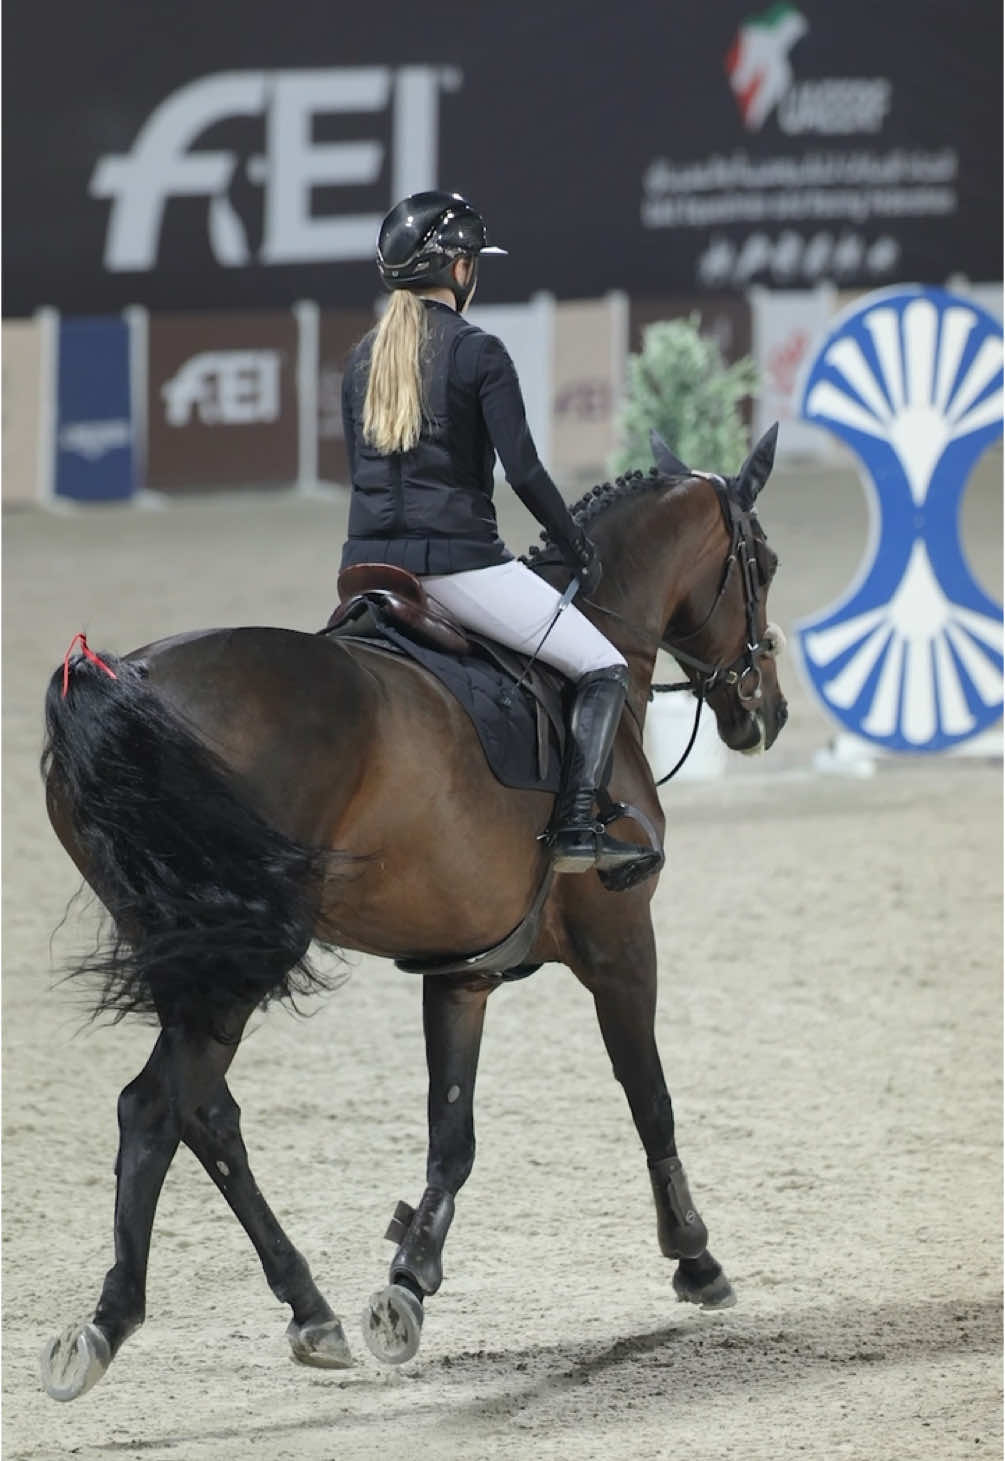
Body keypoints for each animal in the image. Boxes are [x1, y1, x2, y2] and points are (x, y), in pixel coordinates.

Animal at [38, 426, 787, 1401]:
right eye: (762, 563)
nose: (764, 715)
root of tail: (120, 675)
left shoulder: (463, 968)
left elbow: (451, 1132)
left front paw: (408, 1282)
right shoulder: (621, 941)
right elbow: (648, 1097)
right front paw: (696, 1260)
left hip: (190, 948)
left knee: (204, 1112)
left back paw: (308, 1309)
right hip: (237, 954)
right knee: (156, 1107)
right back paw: (107, 1323)